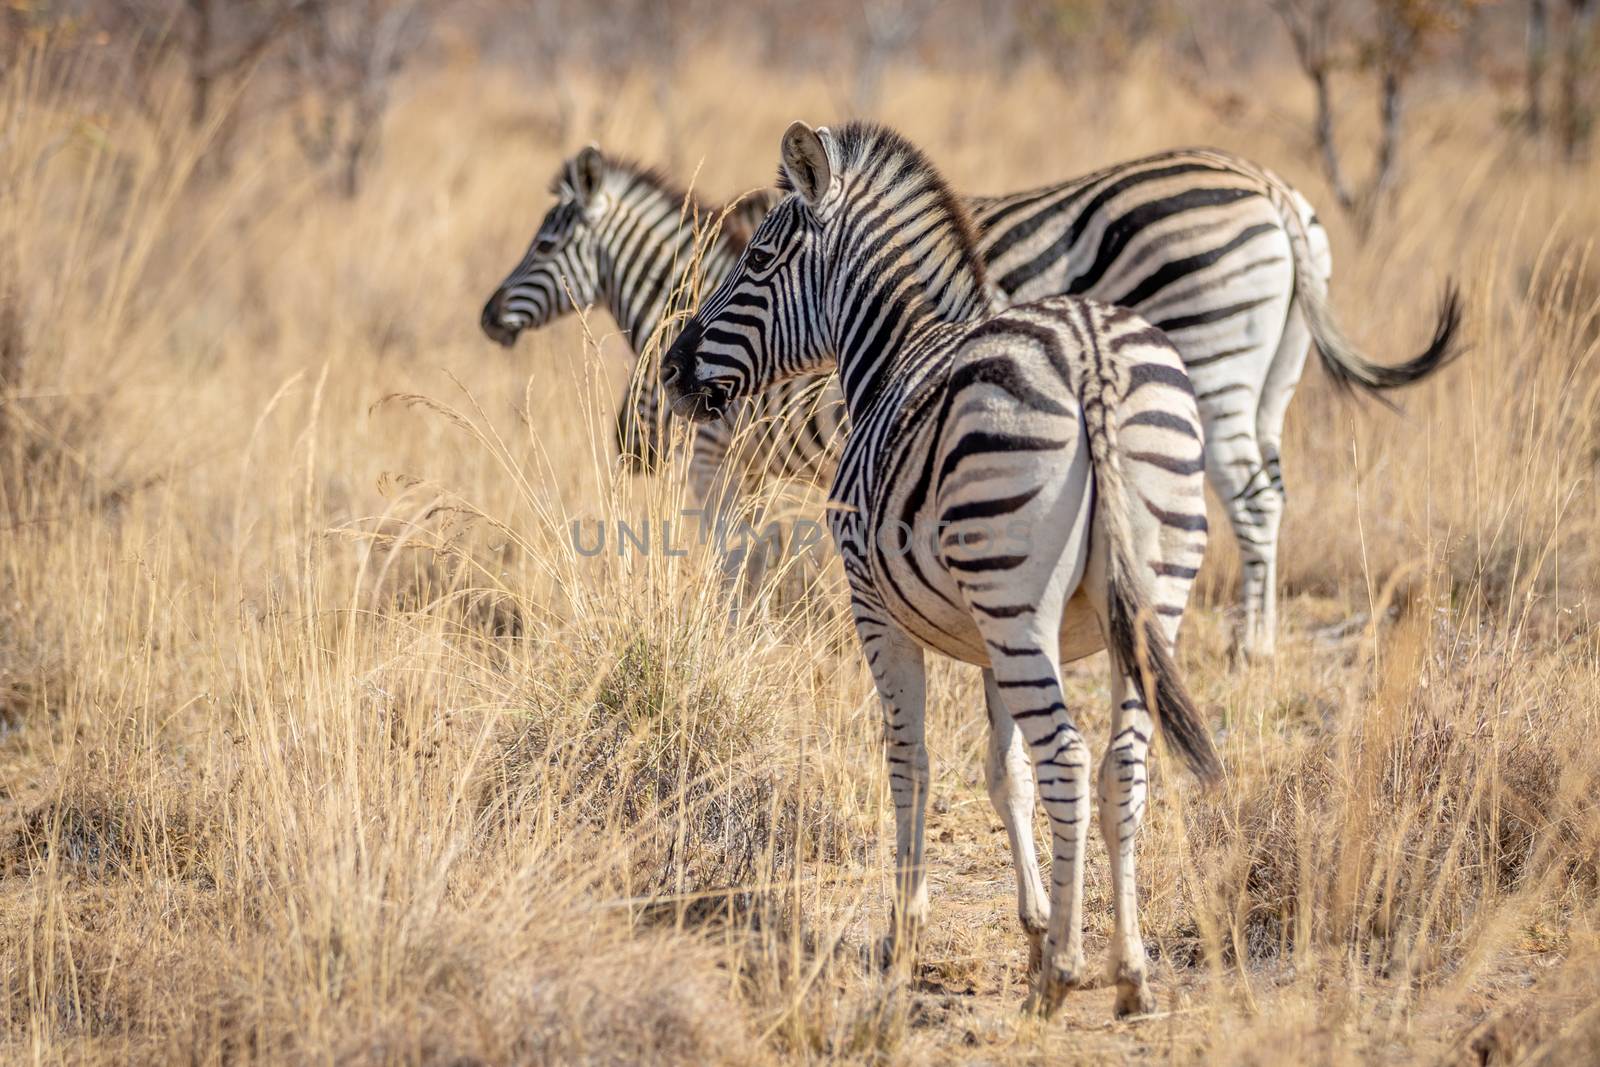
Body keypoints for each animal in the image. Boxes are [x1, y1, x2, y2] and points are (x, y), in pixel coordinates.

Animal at [476, 146, 1465, 655]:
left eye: (547, 239)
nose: (487, 315)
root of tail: (1271, 191)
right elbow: (754, 557)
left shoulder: (739, 449)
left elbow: (727, 555)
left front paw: (731, 639)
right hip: (1268, 380)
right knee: (1273, 491)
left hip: (1213, 359)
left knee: (1252, 502)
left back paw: (1248, 651)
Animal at [662, 120, 1222, 1023]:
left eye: (758, 260)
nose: (672, 371)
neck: (892, 357)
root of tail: (1091, 356)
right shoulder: (994, 640)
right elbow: (1005, 772)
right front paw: (1032, 927)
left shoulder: (874, 607)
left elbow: (911, 759)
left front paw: (908, 932)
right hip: (1146, 597)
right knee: (1120, 764)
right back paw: (1131, 973)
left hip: (1016, 598)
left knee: (1070, 757)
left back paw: (1066, 975)